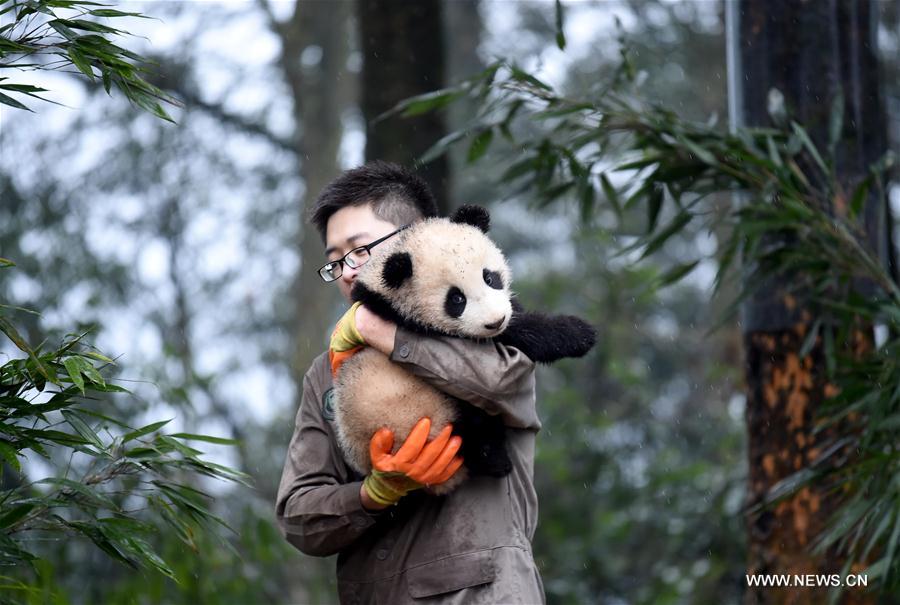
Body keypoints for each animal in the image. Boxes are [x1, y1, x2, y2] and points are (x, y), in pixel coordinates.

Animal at [333, 204, 597, 494]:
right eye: (456, 299)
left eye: (490, 277)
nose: (496, 321)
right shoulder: (414, 324)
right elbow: (514, 335)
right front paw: (578, 333)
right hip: (418, 415)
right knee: (470, 420)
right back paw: (494, 458)